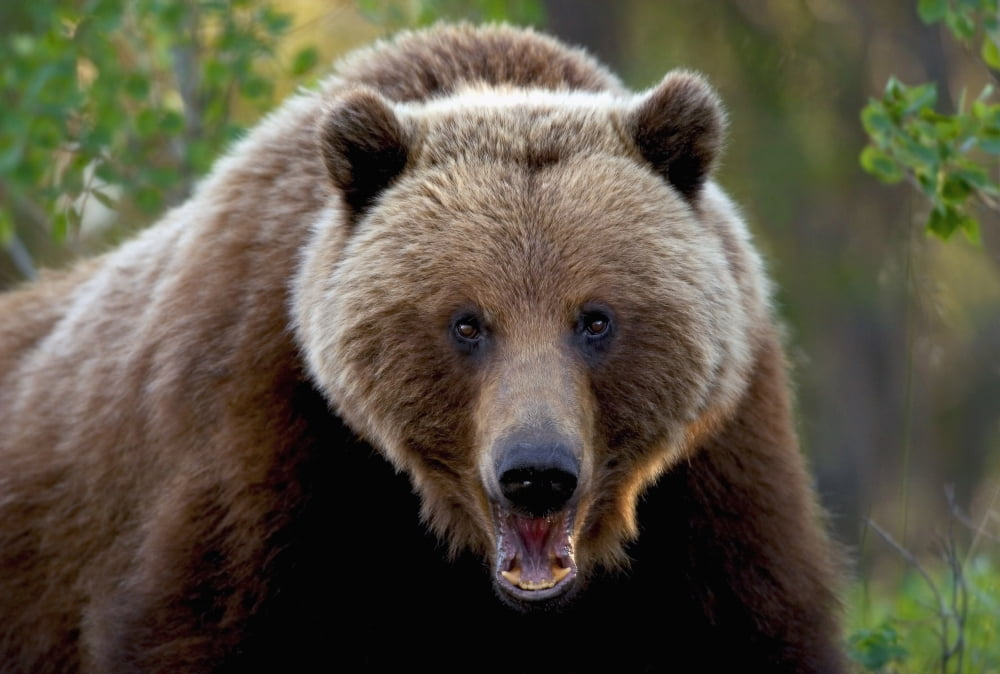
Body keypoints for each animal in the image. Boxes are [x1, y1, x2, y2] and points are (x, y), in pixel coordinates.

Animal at [0, 22, 846, 673]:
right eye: (468, 322)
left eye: (595, 319)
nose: (536, 473)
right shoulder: (263, 442)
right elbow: (200, 622)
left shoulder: (717, 474)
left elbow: (755, 628)